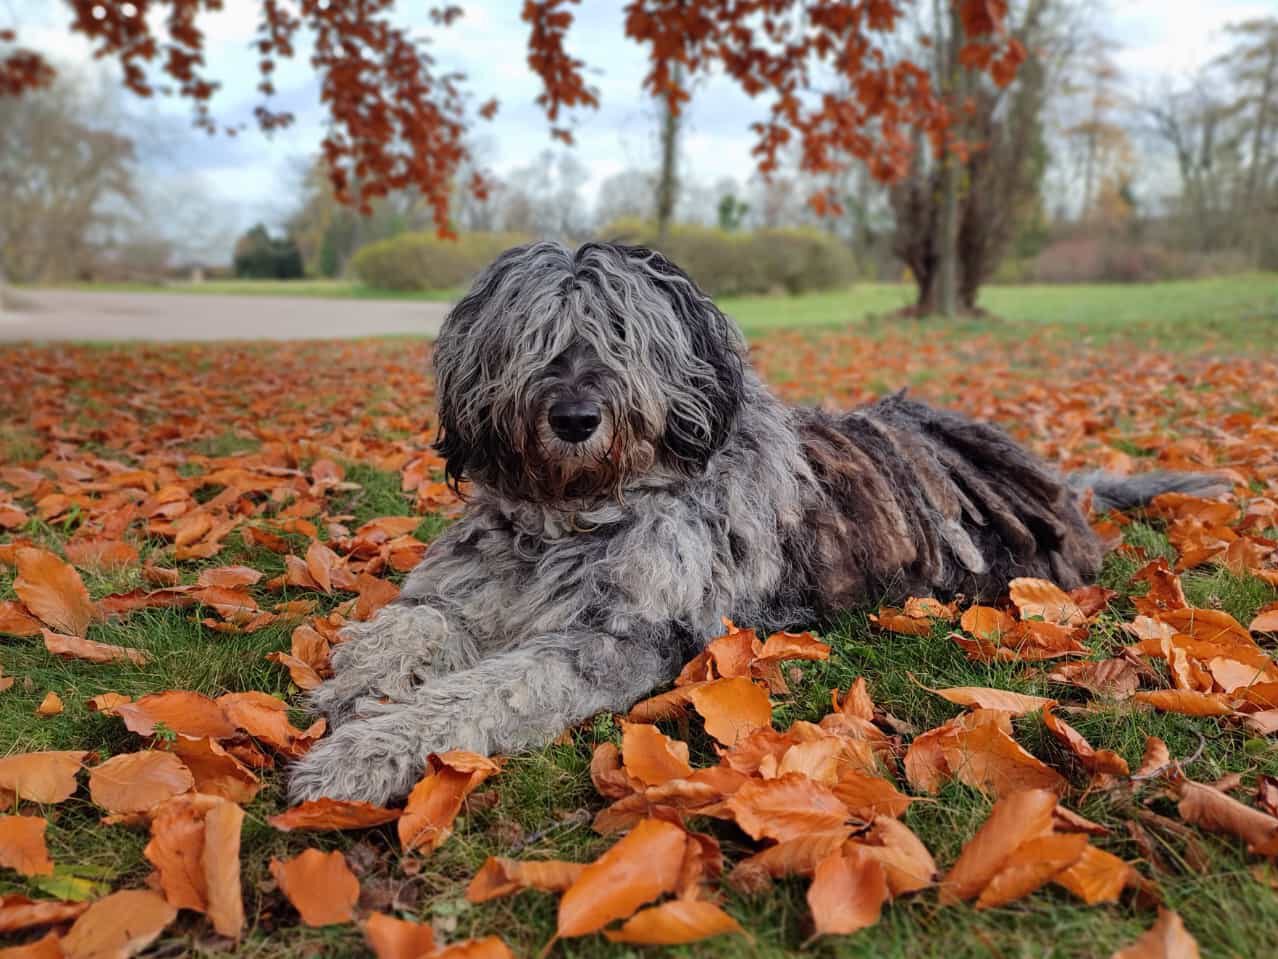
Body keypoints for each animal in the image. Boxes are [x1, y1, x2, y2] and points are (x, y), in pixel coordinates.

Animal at [290, 240, 1216, 803]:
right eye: (536, 336)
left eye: (622, 335)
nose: (577, 416)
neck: (577, 511)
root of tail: (1051, 478)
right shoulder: (469, 583)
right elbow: (406, 622)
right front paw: (354, 686)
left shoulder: (619, 636)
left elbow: (482, 691)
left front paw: (361, 752)